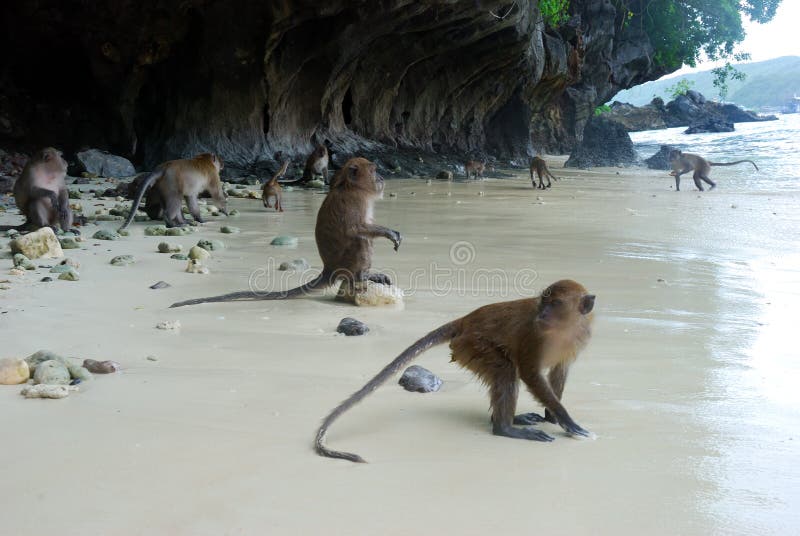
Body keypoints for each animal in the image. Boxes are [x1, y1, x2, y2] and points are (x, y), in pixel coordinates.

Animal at [172, 157, 404, 308]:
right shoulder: (355, 200)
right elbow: (355, 230)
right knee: (360, 241)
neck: (350, 186)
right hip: (347, 261)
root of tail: (330, 269)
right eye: (374, 170)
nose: (381, 176)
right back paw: (361, 276)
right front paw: (390, 233)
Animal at [316, 278, 596, 462]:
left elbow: (559, 371)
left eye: (555, 303)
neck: (563, 329)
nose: (543, 313)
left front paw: (553, 416)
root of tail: (466, 319)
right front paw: (567, 419)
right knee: (505, 370)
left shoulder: (578, 339)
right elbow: (529, 372)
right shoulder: (534, 335)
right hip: (472, 344)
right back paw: (504, 428)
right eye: (542, 303)